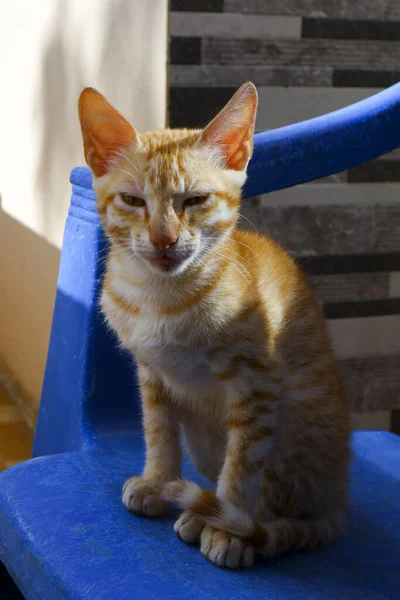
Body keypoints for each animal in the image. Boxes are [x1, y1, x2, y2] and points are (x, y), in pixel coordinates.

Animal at [78, 83, 350, 568]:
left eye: (195, 200)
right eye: (133, 201)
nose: (164, 240)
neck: (161, 300)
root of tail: (339, 498)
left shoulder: (258, 383)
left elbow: (243, 463)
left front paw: (227, 524)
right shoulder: (151, 373)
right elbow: (158, 430)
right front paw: (158, 480)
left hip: (298, 420)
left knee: (278, 497)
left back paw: (222, 520)